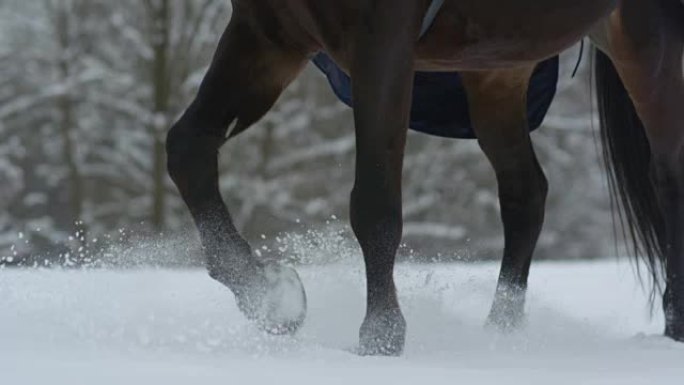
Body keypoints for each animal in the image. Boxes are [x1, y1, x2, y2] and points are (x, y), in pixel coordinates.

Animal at [166, 0, 684, 354]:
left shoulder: (382, 45)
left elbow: (374, 203)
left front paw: (381, 335)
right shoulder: (268, 35)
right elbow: (186, 149)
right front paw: (268, 296)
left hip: (650, 46)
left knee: (669, 178)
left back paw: (675, 324)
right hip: (498, 66)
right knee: (526, 193)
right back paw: (501, 332)